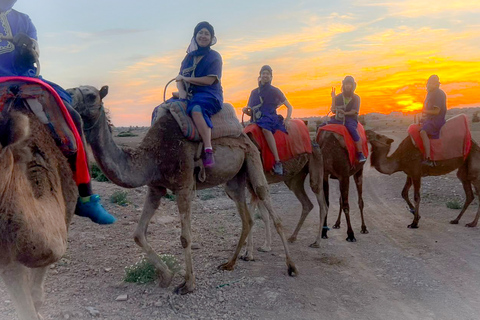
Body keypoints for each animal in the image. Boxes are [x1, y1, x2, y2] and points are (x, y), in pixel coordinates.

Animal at [68, 85, 298, 296]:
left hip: (252, 159)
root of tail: (244, 132)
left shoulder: (184, 186)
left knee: (267, 203)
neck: (151, 157)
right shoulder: (155, 187)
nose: (68, 97)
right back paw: (229, 264)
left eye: (91, 95)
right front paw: (166, 276)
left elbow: (185, 237)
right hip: (234, 180)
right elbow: (138, 234)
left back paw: (291, 266)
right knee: (247, 218)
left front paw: (188, 284)